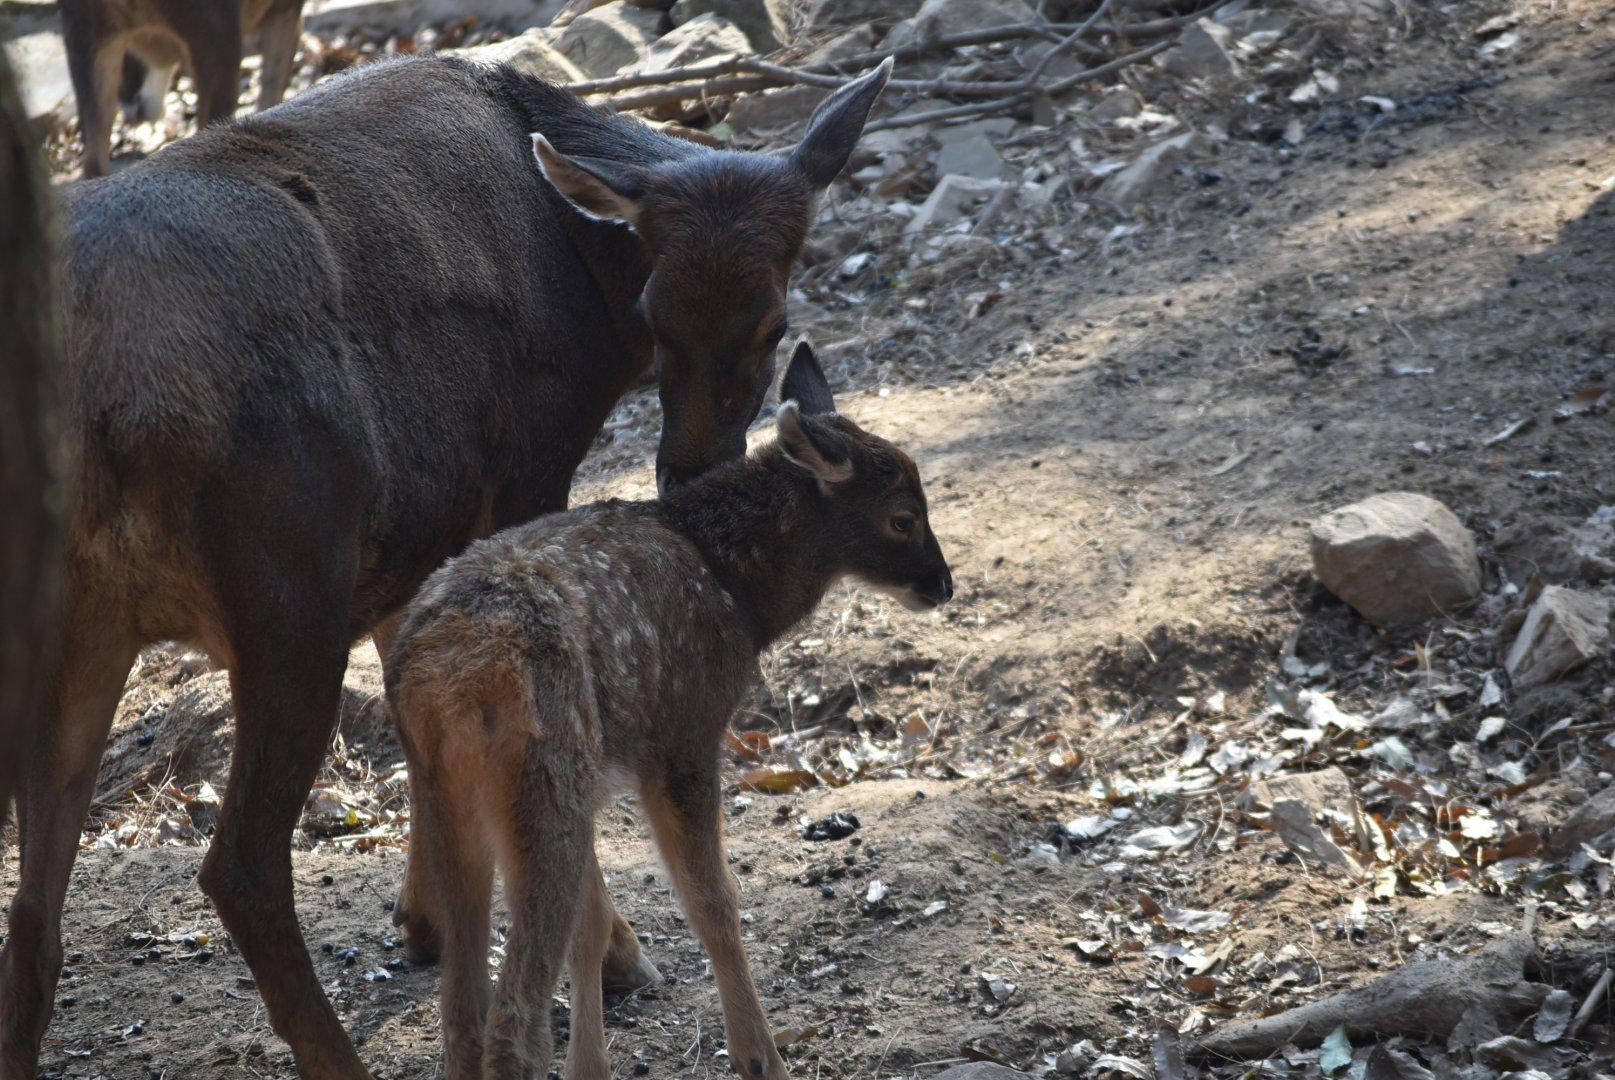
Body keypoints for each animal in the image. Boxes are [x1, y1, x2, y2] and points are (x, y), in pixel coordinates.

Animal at [0, 52, 893, 1080]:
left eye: (771, 319)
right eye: (654, 313)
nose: (689, 466)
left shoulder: (415, 525)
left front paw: (423, 919)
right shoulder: (525, 467)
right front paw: (617, 953)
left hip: (85, 620)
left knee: (32, 906)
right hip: (288, 582)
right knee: (240, 865)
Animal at [59, 0, 307, 177]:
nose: (132, 112)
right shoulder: (283, 13)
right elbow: (273, 91)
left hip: (86, 43)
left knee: (93, 161)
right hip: (219, 40)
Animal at [387, 340, 953, 1080]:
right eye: (902, 517)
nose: (943, 583)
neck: (737, 593)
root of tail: (445, 682)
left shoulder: (599, 779)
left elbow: (593, 927)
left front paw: (593, 1068)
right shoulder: (684, 735)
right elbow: (714, 902)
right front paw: (760, 1057)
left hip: (452, 794)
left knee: (463, 1007)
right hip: (542, 775)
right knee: (514, 1015)